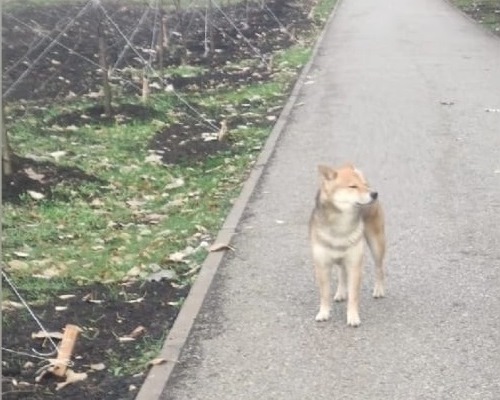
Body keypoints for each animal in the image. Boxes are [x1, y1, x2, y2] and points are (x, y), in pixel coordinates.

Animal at [308, 164, 386, 326]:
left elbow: (354, 295)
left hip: (377, 243)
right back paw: (341, 292)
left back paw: (379, 290)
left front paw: (353, 316)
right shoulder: (322, 265)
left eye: (364, 185)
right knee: (342, 272)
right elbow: (324, 293)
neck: (340, 225)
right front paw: (323, 312)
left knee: (379, 268)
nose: (374, 193)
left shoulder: (355, 264)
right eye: (353, 186)